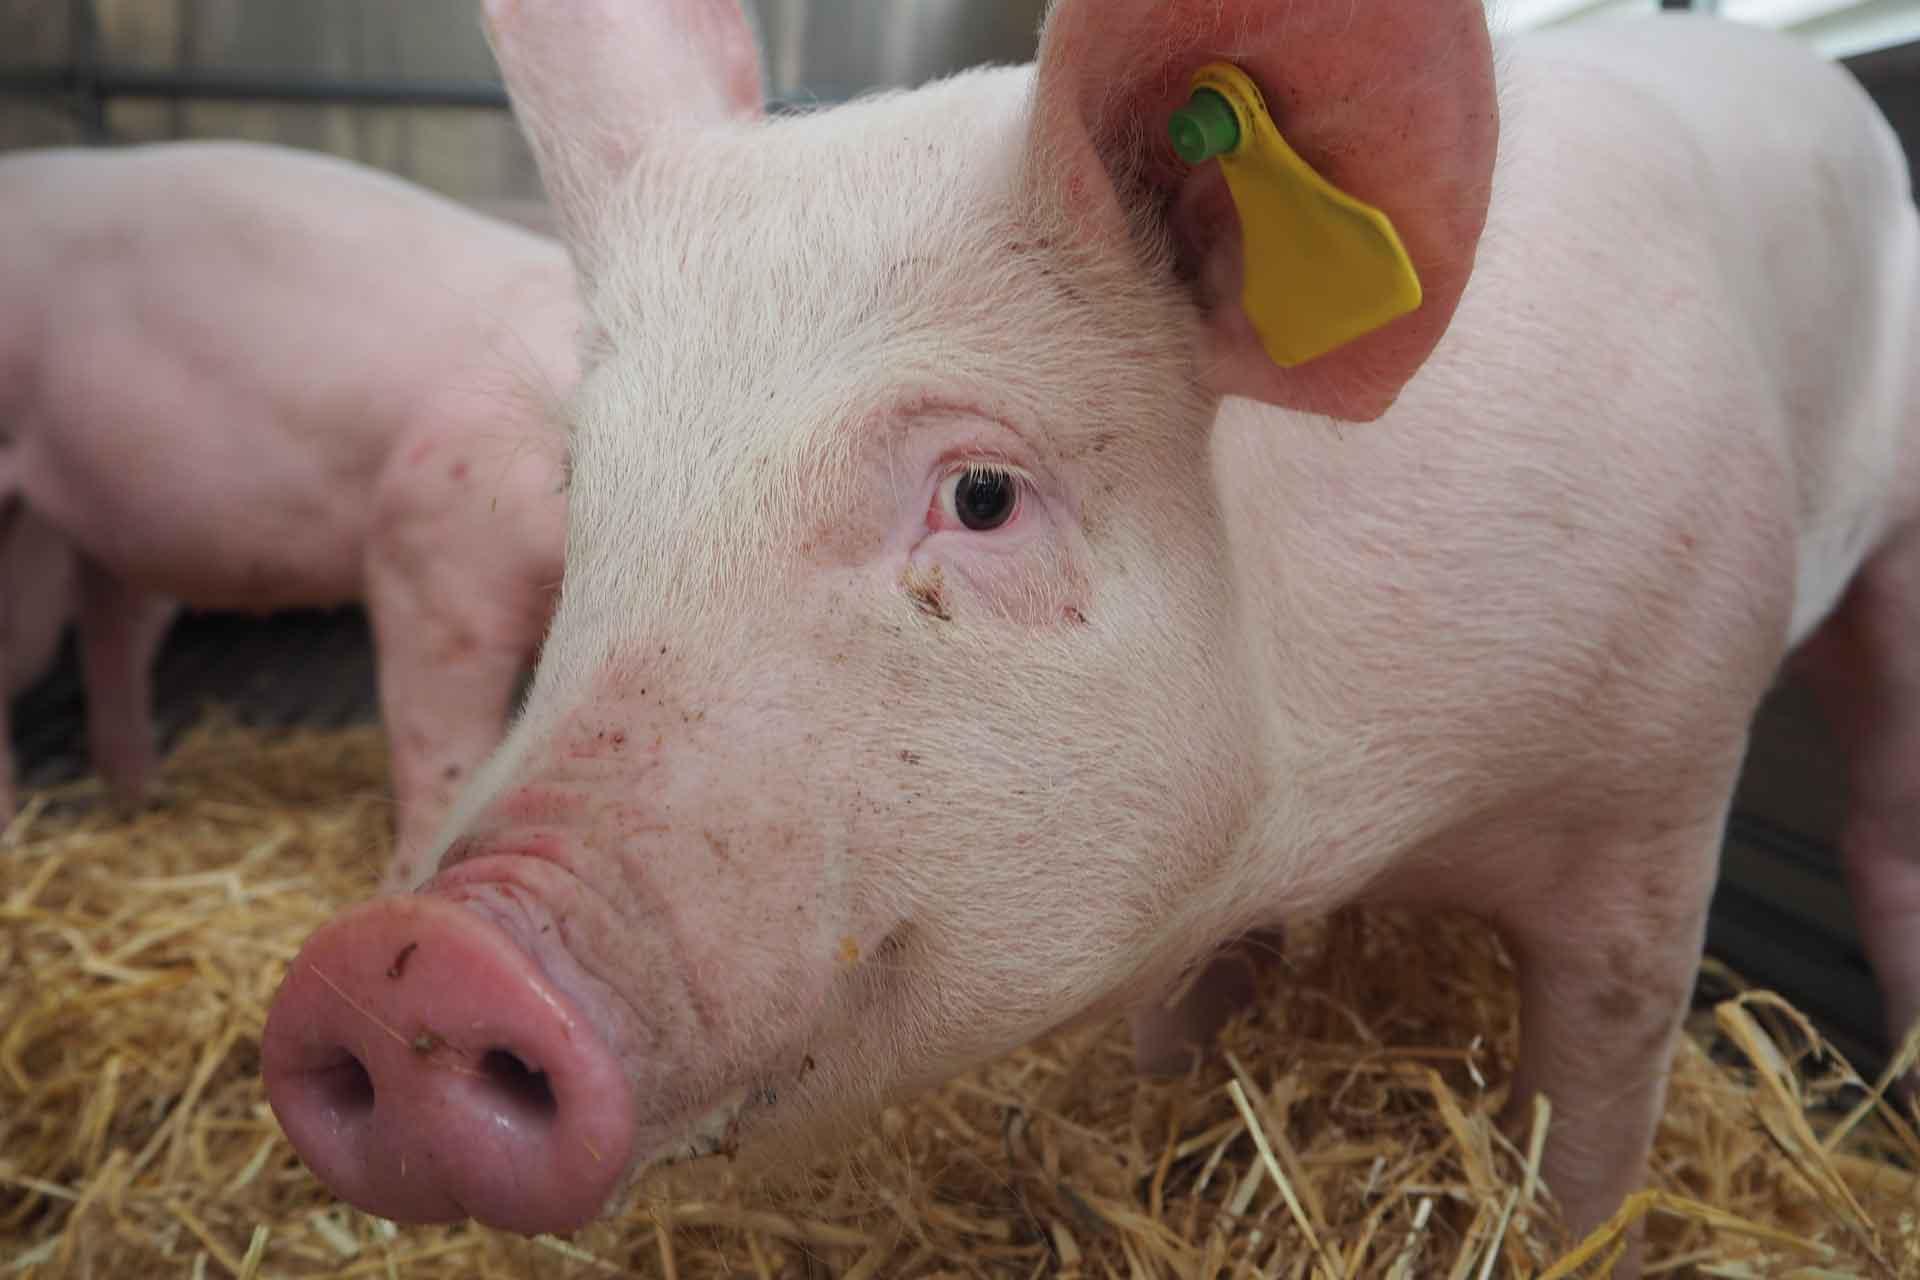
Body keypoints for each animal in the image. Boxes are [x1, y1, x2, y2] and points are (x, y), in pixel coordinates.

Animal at [259, 0, 1920, 1258]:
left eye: (982, 494)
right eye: (580, 482)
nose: (402, 961)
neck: (1358, 809)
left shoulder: (1662, 783)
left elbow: (1595, 1103)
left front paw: (1566, 1231)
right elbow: (1186, 1033)